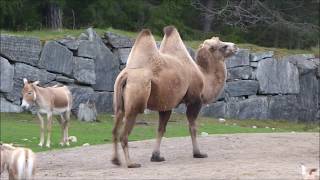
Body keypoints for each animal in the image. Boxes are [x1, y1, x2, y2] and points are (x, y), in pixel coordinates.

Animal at [111, 26, 236, 168]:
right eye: (223, 46)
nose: (235, 46)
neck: (204, 78)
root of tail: (126, 75)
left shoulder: (166, 105)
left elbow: (161, 129)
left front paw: (156, 156)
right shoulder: (195, 100)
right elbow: (192, 127)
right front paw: (198, 153)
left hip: (119, 103)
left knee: (115, 129)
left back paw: (116, 160)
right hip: (135, 101)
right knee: (124, 134)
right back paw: (131, 163)